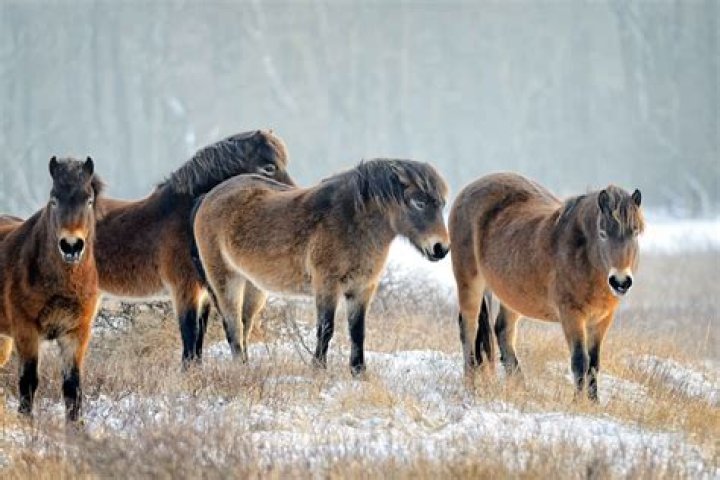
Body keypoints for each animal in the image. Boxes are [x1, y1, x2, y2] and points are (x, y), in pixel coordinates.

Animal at [0, 157, 103, 421]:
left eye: (88, 200)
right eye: (54, 199)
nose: (71, 245)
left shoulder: (76, 333)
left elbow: (72, 388)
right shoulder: (26, 330)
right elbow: (28, 382)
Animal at [93, 130, 294, 368]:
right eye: (269, 167)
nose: (292, 193)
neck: (184, 215)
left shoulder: (204, 292)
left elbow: (199, 336)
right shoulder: (185, 289)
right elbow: (190, 332)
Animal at [192, 159, 450, 375]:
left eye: (442, 205)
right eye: (419, 203)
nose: (441, 248)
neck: (352, 222)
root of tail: (208, 197)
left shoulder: (362, 289)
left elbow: (358, 331)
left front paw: (359, 372)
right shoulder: (327, 285)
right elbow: (326, 328)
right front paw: (319, 368)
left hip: (254, 286)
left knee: (245, 324)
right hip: (226, 280)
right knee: (233, 325)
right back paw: (241, 368)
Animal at [449, 172, 643, 401]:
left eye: (635, 233)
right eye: (602, 233)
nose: (620, 281)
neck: (581, 254)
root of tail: (468, 190)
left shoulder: (602, 319)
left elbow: (594, 364)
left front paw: (594, 402)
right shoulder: (571, 315)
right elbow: (580, 361)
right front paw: (578, 402)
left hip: (512, 296)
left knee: (503, 332)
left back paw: (521, 388)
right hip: (469, 282)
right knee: (468, 330)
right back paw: (470, 386)